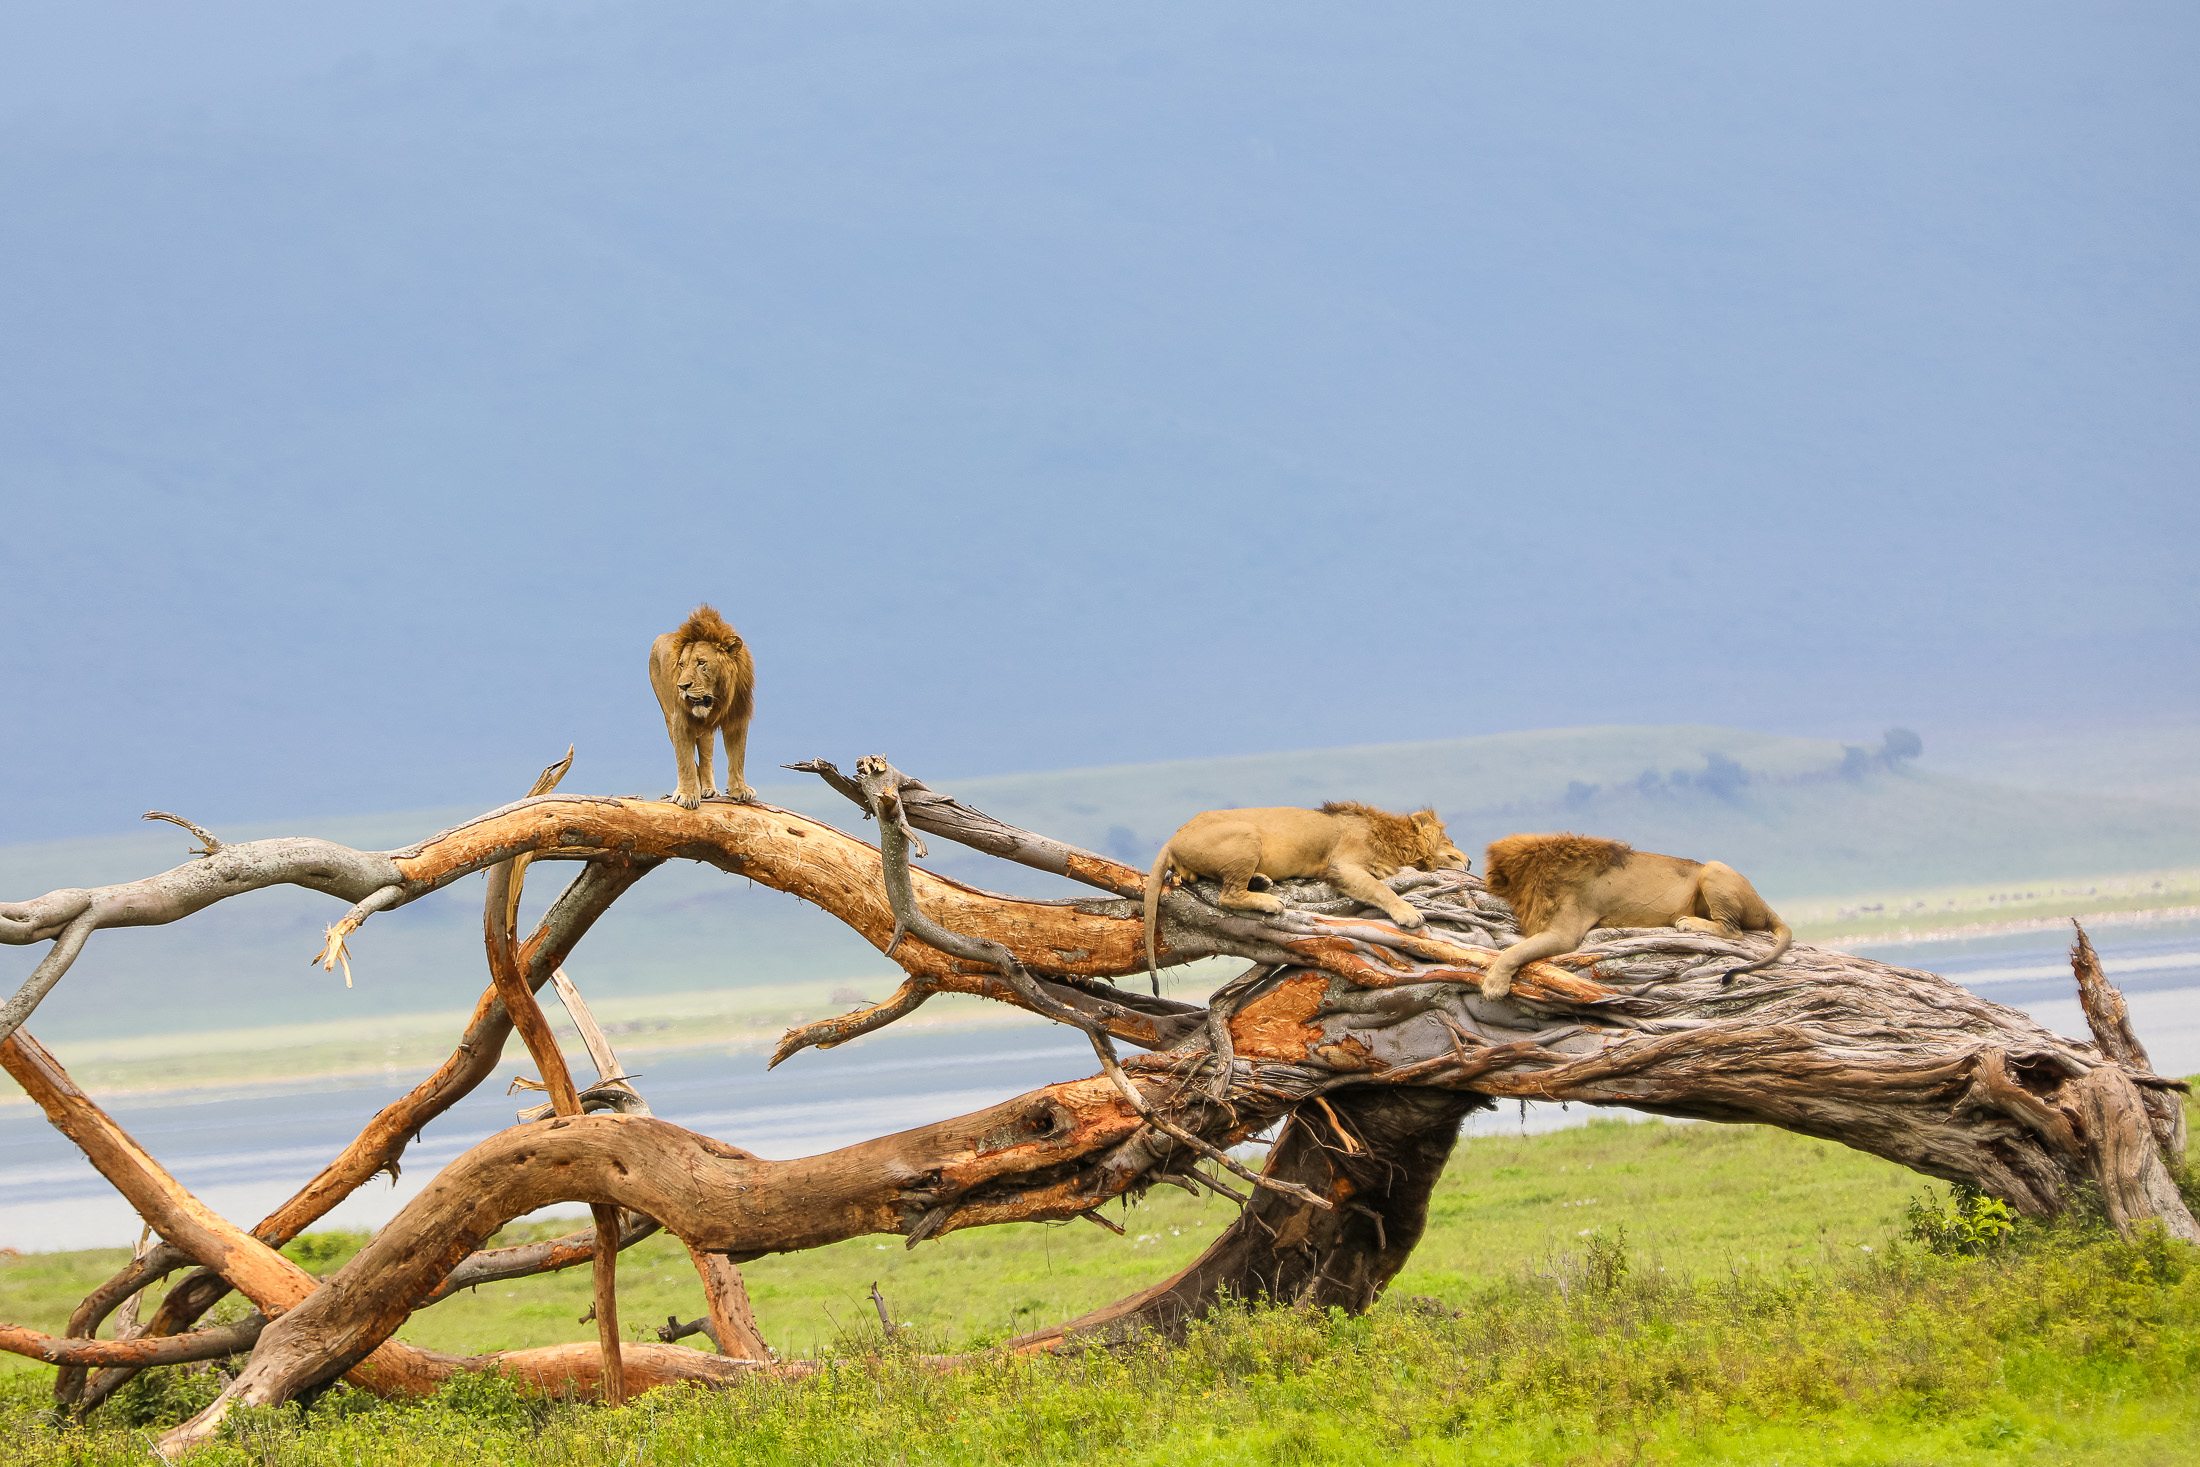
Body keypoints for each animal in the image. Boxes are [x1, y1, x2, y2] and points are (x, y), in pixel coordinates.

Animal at [648, 604, 756, 810]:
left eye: (701, 662)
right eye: (681, 665)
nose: (682, 686)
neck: (718, 699)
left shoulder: (738, 718)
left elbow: (738, 756)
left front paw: (740, 789)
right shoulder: (680, 722)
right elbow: (684, 761)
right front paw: (686, 794)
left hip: (705, 731)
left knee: (706, 758)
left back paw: (708, 789)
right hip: (668, 717)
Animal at [1142, 801, 1469, 986]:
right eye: (1451, 840)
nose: (1468, 861)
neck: (1392, 838)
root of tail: (1173, 838)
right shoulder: (1342, 866)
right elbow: (1381, 889)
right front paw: (1409, 914)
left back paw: (1261, 881)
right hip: (1247, 834)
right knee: (1228, 894)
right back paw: (1270, 901)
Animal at [1477, 832, 1792, 998]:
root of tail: (1766, 906)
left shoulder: (1564, 933)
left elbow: (1513, 952)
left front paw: (1493, 985)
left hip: (1714, 868)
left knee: (1733, 930)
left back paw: (1688, 923)